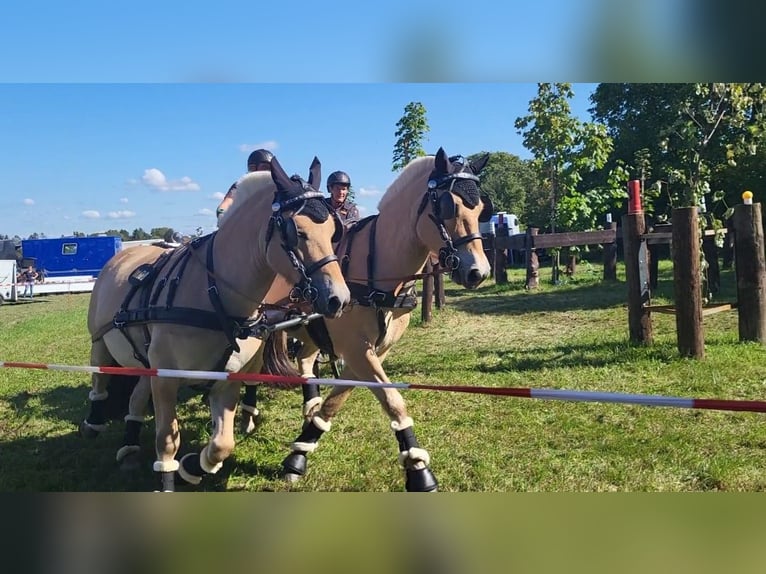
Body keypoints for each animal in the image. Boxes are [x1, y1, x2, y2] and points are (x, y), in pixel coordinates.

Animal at [80, 155, 352, 492]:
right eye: (295, 232)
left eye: (333, 231)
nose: (338, 298)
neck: (214, 297)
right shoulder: (166, 379)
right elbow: (167, 438)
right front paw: (169, 478)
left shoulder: (226, 379)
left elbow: (223, 443)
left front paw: (192, 468)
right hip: (100, 344)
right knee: (100, 381)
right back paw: (94, 422)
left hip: (145, 358)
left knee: (137, 396)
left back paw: (130, 444)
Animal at [242, 147, 492, 490]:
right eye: (446, 205)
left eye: (480, 207)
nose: (479, 272)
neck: (377, 273)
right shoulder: (356, 349)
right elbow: (393, 400)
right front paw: (419, 469)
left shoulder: (372, 350)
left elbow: (339, 399)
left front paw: (302, 449)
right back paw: (247, 414)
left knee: (305, 360)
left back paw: (307, 406)